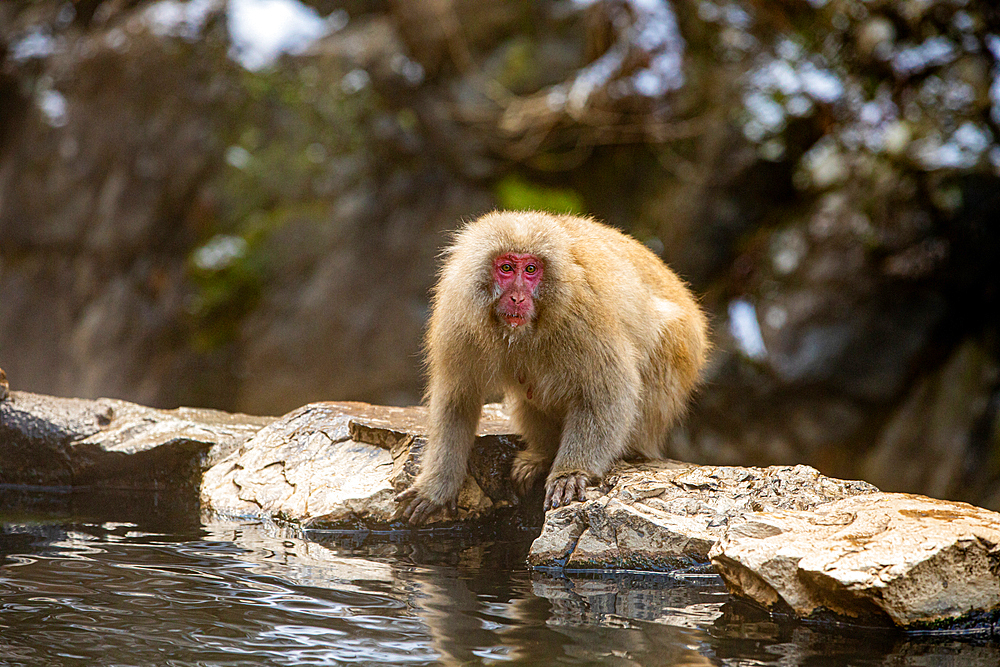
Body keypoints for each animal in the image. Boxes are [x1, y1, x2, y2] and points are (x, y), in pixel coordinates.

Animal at [394, 211, 708, 524]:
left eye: (531, 269)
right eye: (507, 268)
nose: (518, 298)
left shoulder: (582, 313)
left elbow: (610, 391)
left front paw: (571, 472)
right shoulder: (457, 315)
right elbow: (457, 400)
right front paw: (437, 487)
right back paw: (543, 455)